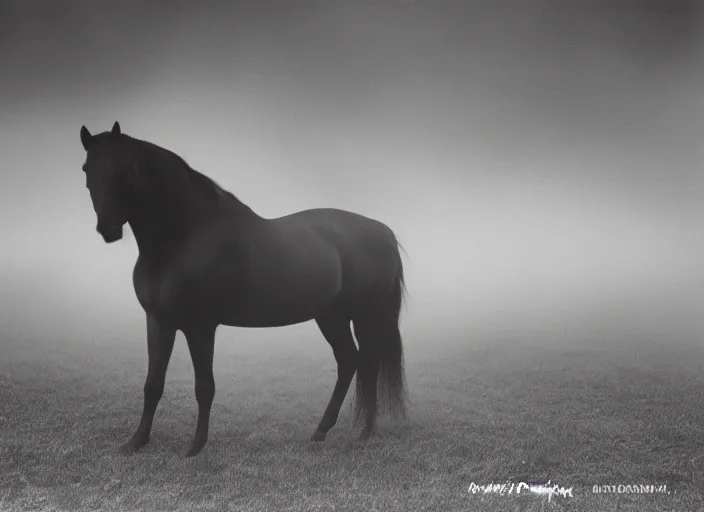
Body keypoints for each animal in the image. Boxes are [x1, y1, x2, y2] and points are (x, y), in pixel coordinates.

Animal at [78, 123, 408, 456]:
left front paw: (195, 447)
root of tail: (383, 231)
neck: (183, 239)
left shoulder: (200, 327)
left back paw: (364, 432)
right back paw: (322, 431)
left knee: (368, 362)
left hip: (365, 315)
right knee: (349, 360)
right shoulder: (159, 322)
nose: (107, 228)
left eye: (126, 171)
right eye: (86, 169)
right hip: (332, 316)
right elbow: (153, 384)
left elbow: (204, 386)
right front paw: (136, 441)